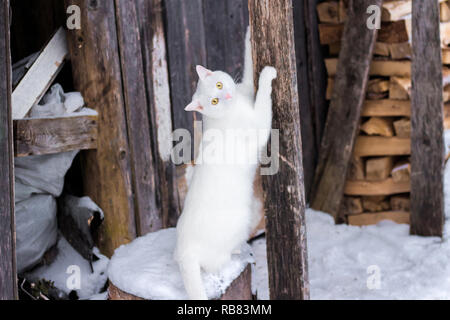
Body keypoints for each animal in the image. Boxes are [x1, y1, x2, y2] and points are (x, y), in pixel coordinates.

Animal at [174, 30, 276, 300]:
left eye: (219, 86)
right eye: (214, 101)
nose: (227, 96)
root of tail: (184, 250)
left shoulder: (245, 88)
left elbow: (249, 65)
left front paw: (249, 34)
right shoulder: (259, 125)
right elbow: (263, 98)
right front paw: (268, 74)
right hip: (241, 222)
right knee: (217, 264)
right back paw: (239, 254)